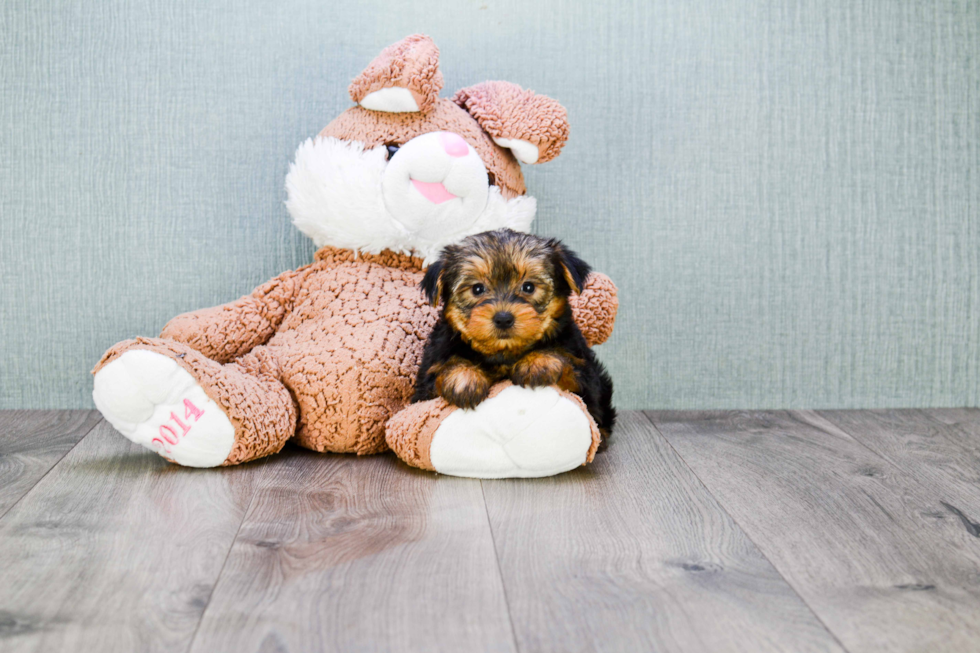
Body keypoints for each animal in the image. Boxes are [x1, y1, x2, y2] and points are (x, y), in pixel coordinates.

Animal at [412, 228, 612, 444]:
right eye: (477, 289)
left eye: (528, 287)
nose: (503, 318)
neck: (504, 353)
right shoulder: (426, 386)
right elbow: (445, 367)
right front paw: (463, 377)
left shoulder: (584, 376)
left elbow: (570, 373)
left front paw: (539, 361)